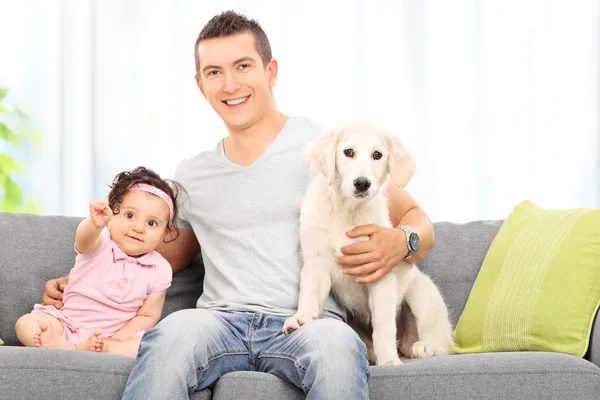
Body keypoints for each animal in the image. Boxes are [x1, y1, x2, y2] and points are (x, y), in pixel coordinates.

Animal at [284, 121, 452, 366]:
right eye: (348, 152)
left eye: (377, 155)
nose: (362, 183)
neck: (347, 210)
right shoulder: (316, 263)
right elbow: (309, 295)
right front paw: (301, 319)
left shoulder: (379, 272)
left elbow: (383, 325)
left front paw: (389, 361)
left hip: (421, 292)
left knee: (441, 343)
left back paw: (423, 347)